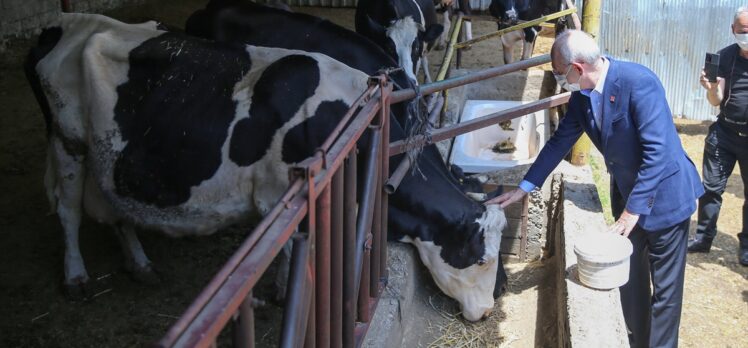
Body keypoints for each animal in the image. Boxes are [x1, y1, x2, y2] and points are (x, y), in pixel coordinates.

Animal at [27, 12, 508, 322]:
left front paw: (278, 290)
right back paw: (76, 276)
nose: (488, 311)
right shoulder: (293, 195)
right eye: (482, 258)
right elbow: (302, 258)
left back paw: (141, 264)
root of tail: (63, 24)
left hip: (111, 155)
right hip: (67, 142)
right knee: (68, 210)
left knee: (117, 202)